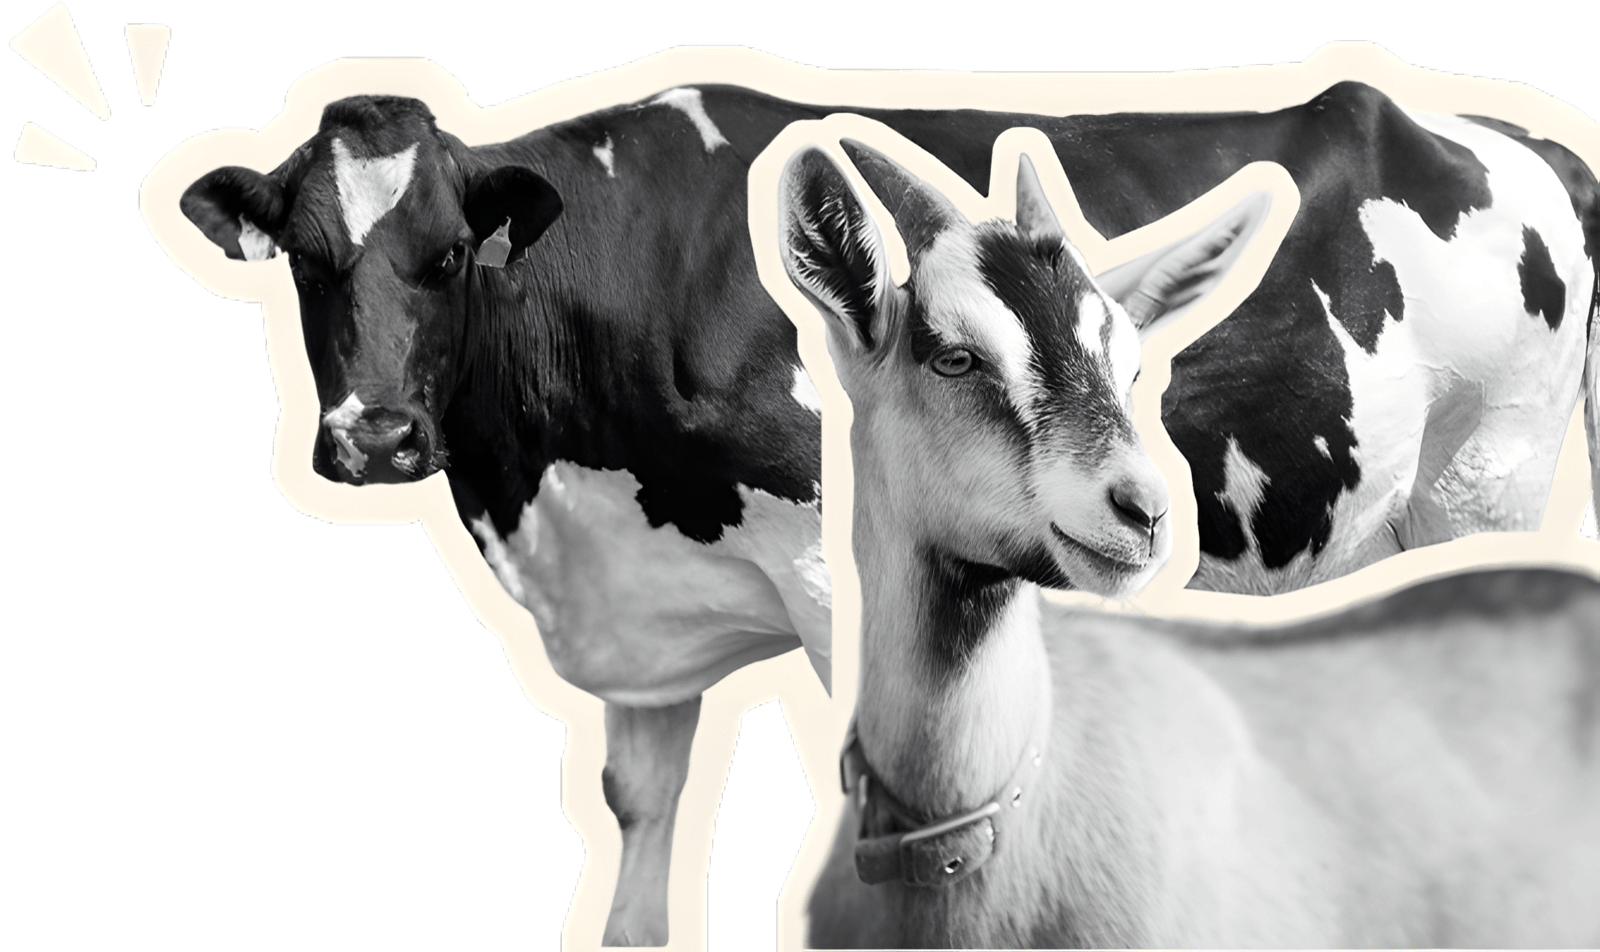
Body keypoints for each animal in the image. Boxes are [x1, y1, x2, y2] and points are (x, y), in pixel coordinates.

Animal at [176, 80, 1599, 944]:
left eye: (452, 253)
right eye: (307, 258)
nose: (373, 437)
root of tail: (1520, 138)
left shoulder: (820, 573)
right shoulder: (640, 623)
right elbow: (639, 820)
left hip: (1490, 484)